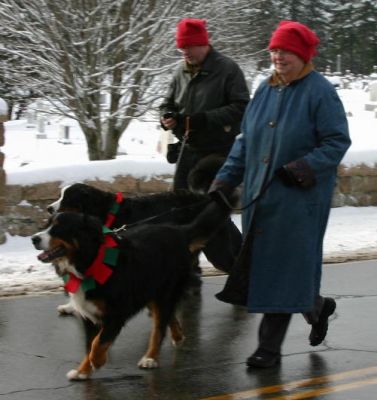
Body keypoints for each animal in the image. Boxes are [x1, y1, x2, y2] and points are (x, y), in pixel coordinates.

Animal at [30, 197, 234, 382]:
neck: (90, 260)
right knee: (168, 318)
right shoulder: (88, 314)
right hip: (149, 292)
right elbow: (89, 345)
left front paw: (98, 361)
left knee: (159, 328)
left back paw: (150, 358)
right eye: (47, 224)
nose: (34, 238)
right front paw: (83, 371)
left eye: (59, 228)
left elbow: (98, 342)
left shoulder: (116, 313)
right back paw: (178, 336)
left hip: (164, 292)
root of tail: (179, 231)